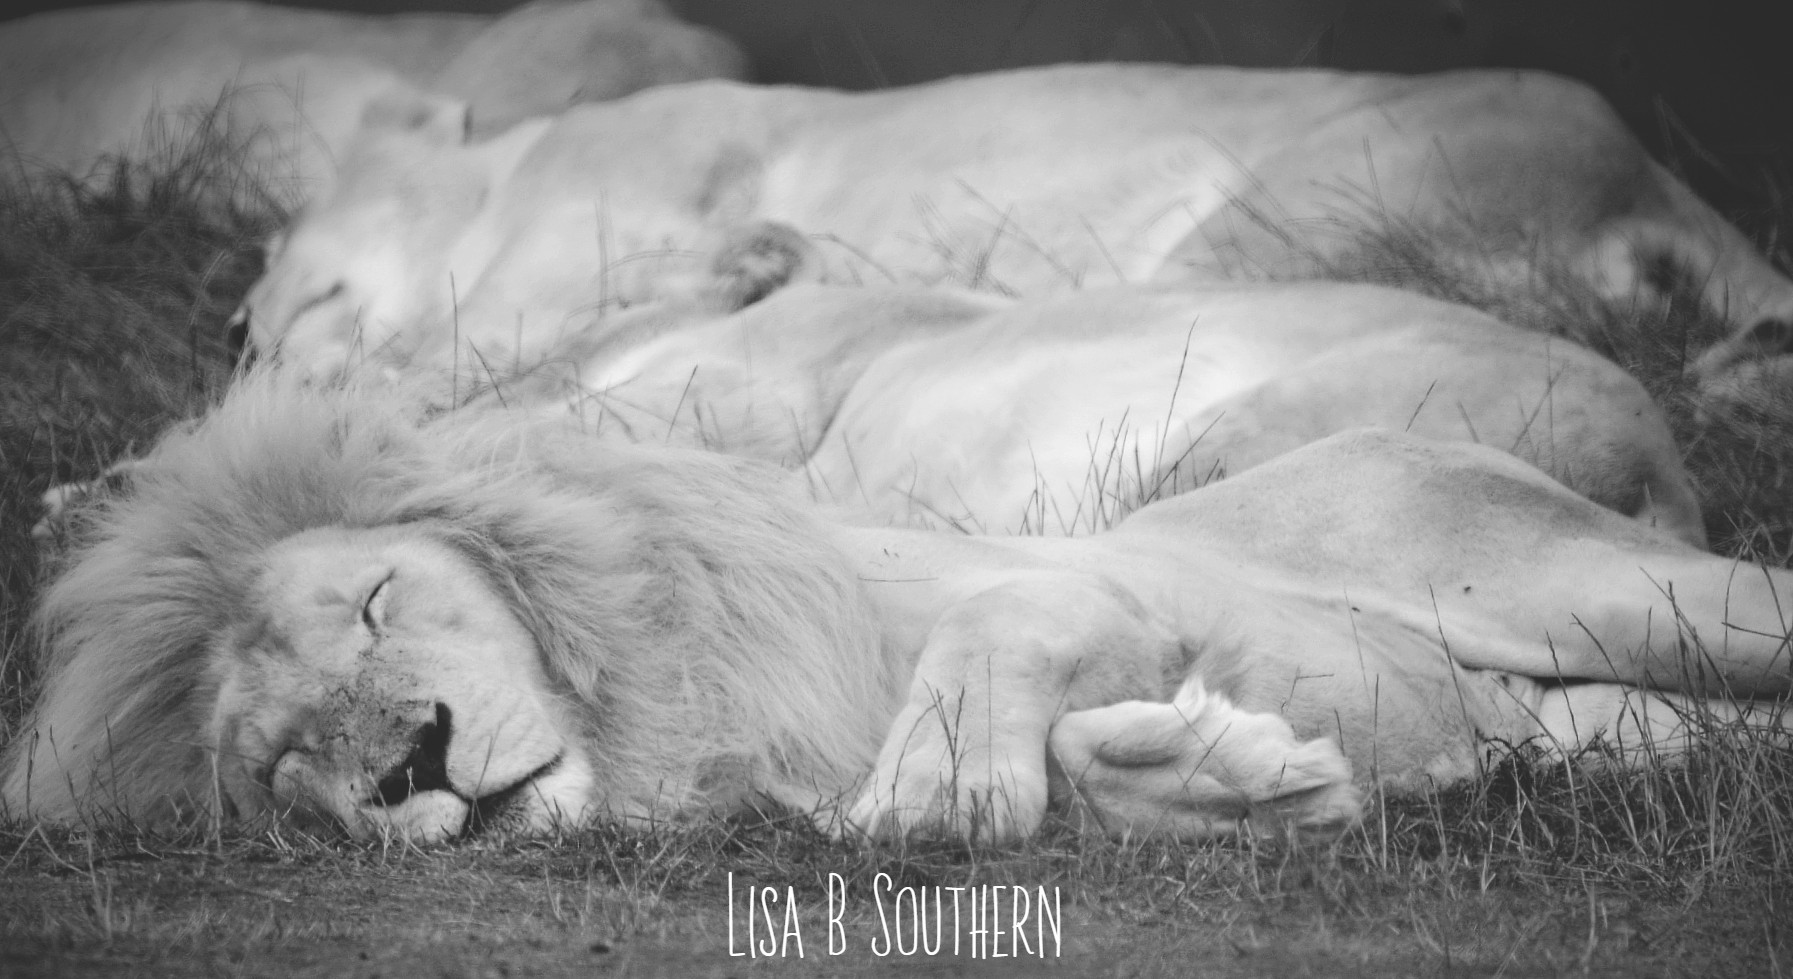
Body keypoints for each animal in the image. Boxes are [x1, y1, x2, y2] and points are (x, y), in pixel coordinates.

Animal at [4, 371, 1787, 844]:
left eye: (377, 601)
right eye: (280, 762)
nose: (407, 765)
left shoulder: (1084, 572)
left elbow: (990, 641)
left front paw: (936, 785)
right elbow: (1103, 767)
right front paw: (1243, 776)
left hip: (1621, 595)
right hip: (1613, 717)